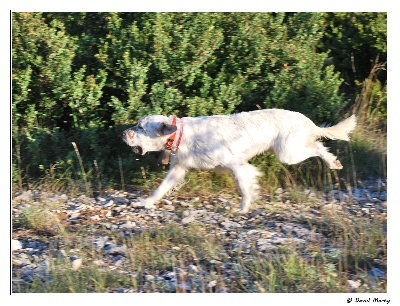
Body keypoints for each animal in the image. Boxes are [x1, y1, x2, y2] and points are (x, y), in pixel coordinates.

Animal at [121, 109, 356, 213]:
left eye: (140, 127)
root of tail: (307, 120)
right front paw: (146, 202)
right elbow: (160, 188)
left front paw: (243, 207)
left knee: (318, 146)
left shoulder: (236, 164)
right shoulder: (178, 168)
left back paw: (333, 163)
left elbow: (244, 187)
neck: (181, 134)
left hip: (287, 153)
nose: (123, 133)